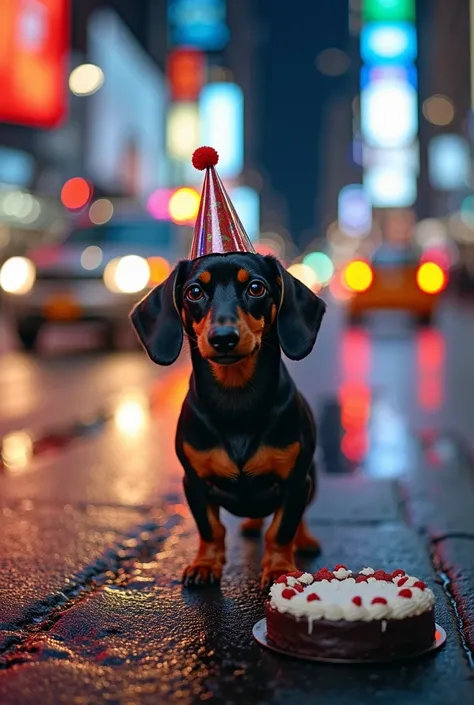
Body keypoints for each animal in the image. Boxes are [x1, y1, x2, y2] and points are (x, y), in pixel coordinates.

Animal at [131, 253, 328, 588]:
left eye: (256, 288)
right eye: (194, 292)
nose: (223, 338)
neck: (236, 402)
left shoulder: (296, 481)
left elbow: (282, 529)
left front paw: (280, 569)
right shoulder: (194, 482)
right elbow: (210, 528)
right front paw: (205, 565)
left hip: (311, 479)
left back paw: (305, 541)